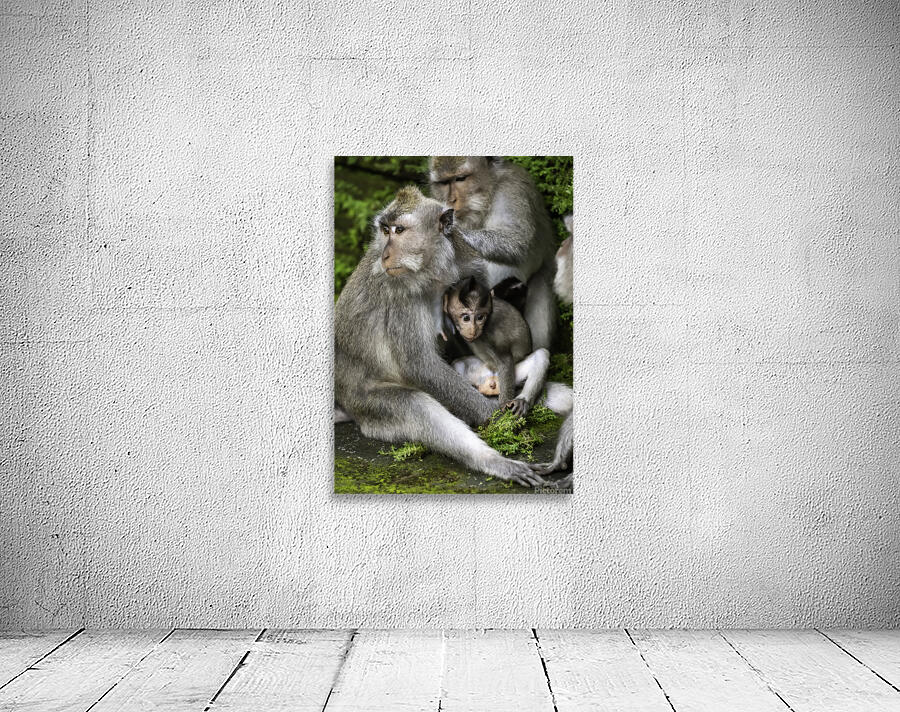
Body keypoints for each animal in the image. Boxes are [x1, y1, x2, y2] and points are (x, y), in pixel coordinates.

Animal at [429, 157, 557, 351]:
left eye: (460, 179)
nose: (451, 200)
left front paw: (451, 230)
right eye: (444, 182)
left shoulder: (512, 189)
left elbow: (516, 239)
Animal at [442, 276, 549, 417]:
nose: (473, 329)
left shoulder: (488, 332)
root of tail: (493, 379)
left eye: (480, 317)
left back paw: (522, 400)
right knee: (458, 364)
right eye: (465, 318)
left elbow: (505, 360)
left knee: (541, 354)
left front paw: (504, 405)